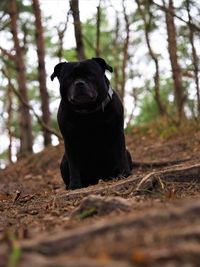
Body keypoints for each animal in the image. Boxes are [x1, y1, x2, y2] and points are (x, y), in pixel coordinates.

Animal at [51, 57, 133, 189]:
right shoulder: (70, 142)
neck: (88, 111)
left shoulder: (118, 133)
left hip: (128, 153)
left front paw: (126, 174)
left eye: (90, 74)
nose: (79, 83)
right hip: (63, 162)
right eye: (69, 78)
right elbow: (73, 166)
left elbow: (121, 155)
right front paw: (74, 185)